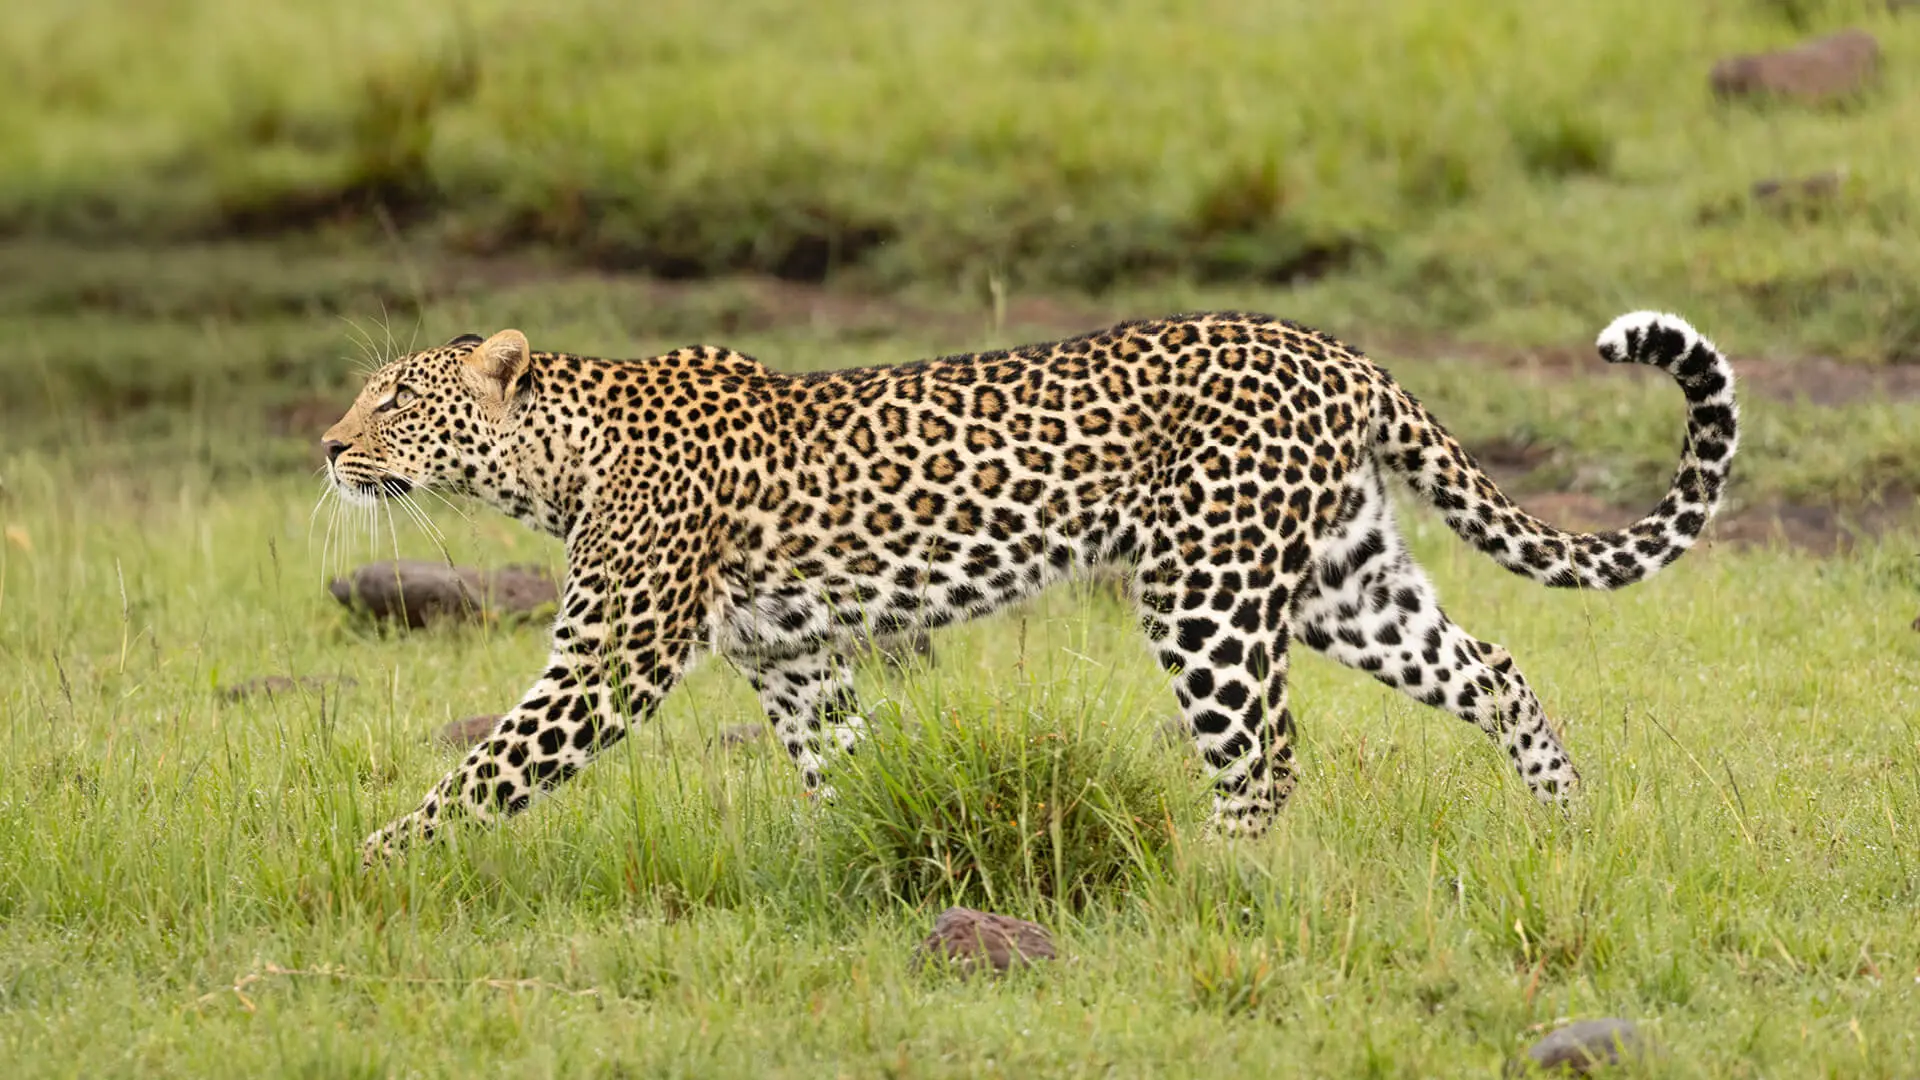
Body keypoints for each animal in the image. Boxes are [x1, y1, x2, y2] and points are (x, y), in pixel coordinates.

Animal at [321, 309, 1738, 864]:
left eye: (392, 397)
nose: (328, 447)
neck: (558, 458)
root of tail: (1335, 349)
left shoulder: (607, 663)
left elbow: (482, 774)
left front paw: (372, 866)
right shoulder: (794, 659)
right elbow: (847, 767)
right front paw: (865, 861)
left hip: (1206, 590)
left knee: (1265, 755)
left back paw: (1208, 872)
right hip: (1344, 580)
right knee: (1491, 667)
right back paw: (1565, 819)